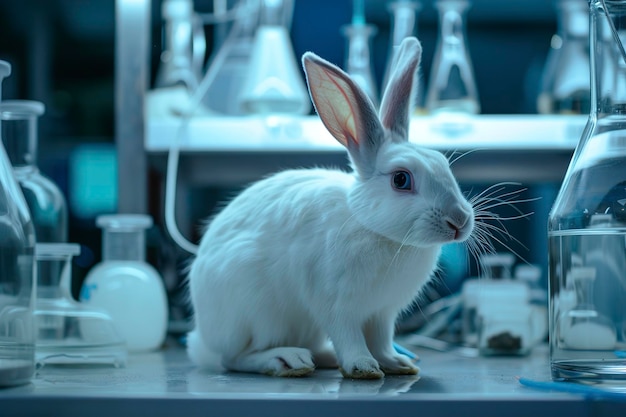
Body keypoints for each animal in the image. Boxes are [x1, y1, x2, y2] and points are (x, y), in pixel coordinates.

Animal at [185, 37, 472, 378]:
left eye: (443, 164)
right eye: (401, 179)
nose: (460, 220)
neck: (377, 231)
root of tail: (202, 340)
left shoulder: (382, 314)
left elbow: (381, 341)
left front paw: (397, 364)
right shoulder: (336, 305)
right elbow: (349, 337)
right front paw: (363, 367)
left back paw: (324, 357)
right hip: (255, 313)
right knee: (235, 358)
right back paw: (288, 360)